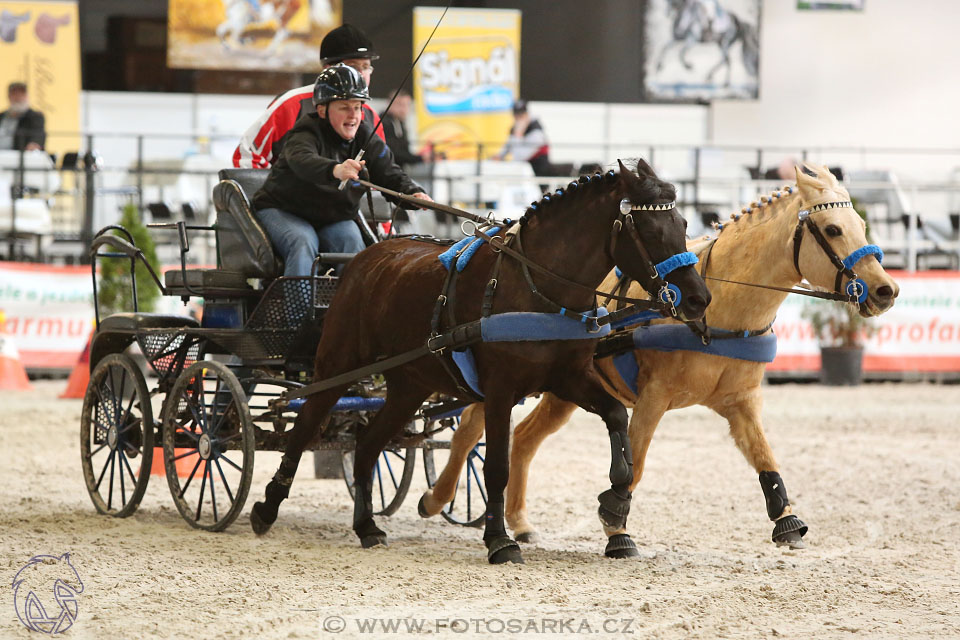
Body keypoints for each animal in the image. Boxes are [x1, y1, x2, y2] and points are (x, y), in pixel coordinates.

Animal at [251, 160, 708, 564]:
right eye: (650, 230)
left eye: (685, 226)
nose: (698, 298)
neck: (537, 288)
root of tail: (366, 258)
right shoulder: (501, 391)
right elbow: (496, 468)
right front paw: (500, 541)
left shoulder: (570, 377)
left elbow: (615, 415)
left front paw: (615, 507)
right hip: (338, 364)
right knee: (306, 423)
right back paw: (266, 508)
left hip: (408, 386)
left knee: (366, 446)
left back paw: (366, 526)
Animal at [420, 168, 900, 552]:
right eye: (833, 229)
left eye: (861, 224)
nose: (886, 289)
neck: (720, 309)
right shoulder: (653, 397)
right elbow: (635, 461)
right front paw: (616, 524)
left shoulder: (741, 402)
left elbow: (765, 456)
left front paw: (786, 519)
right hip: (508, 381)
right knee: (469, 431)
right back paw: (437, 498)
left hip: (562, 391)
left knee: (522, 439)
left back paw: (519, 522)